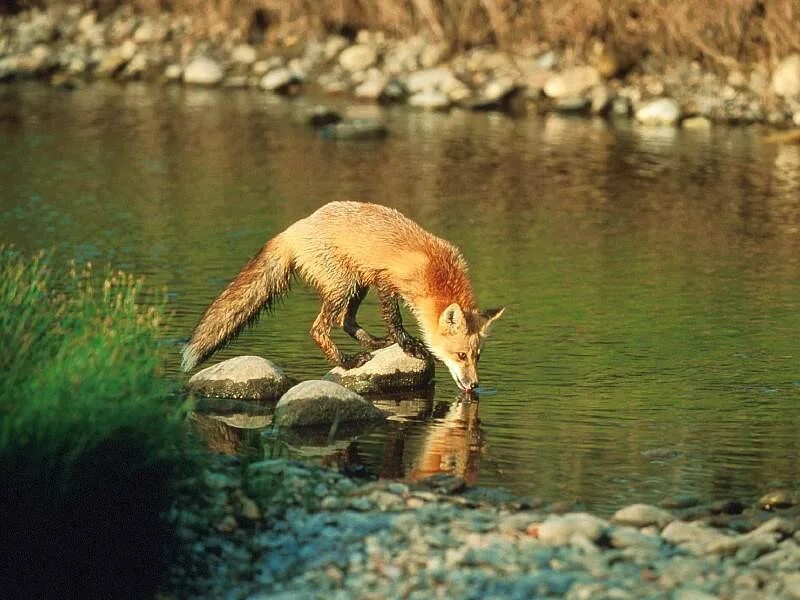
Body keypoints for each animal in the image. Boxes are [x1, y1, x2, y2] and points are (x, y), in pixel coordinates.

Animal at [184, 199, 504, 392]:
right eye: (460, 355)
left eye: (477, 356)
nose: (475, 386)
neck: (436, 272)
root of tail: (295, 228)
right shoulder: (386, 281)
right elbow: (395, 320)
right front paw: (409, 345)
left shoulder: (378, 281)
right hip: (343, 285)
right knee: (319, 329)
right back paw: (347, 362)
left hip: (356, 283)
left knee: (345, 321)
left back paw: (373, 344)